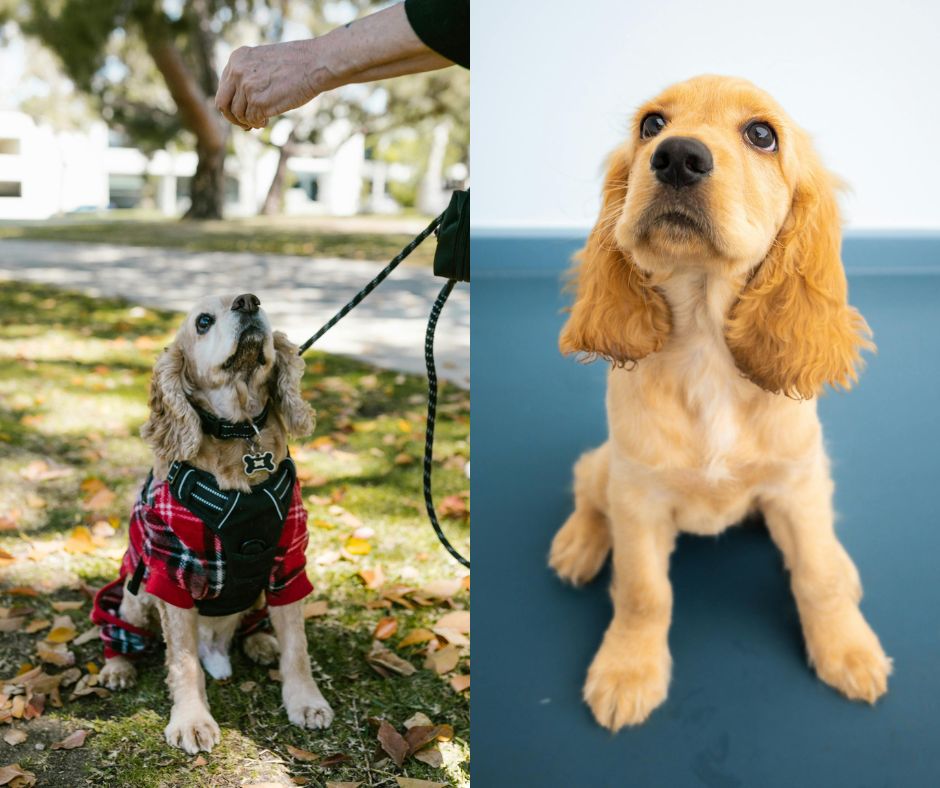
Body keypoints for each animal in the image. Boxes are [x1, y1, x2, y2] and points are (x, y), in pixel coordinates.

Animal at [93, 294, 332, 752]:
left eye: (260, 301)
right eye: (203, 321)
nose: (249, 301)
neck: (239, 432)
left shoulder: (288, 563)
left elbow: (297, 646)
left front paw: (306, 702)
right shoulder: (172, 574)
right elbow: (183, 661)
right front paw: (192, 721)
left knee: (256, 626)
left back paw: (261, 641)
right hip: (135, 593)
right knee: (120, 629)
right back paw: (118, 668)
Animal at [552, 75, 888, 732]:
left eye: (762, 135)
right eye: (651, 125)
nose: (677, 157)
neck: (707, 349)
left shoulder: (796, 484)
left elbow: (816, 578)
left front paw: (847, 650)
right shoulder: (638, 498)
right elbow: (643, 592)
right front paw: (628, 670)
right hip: (606, 466)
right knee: (585, 488)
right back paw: (578, 542)